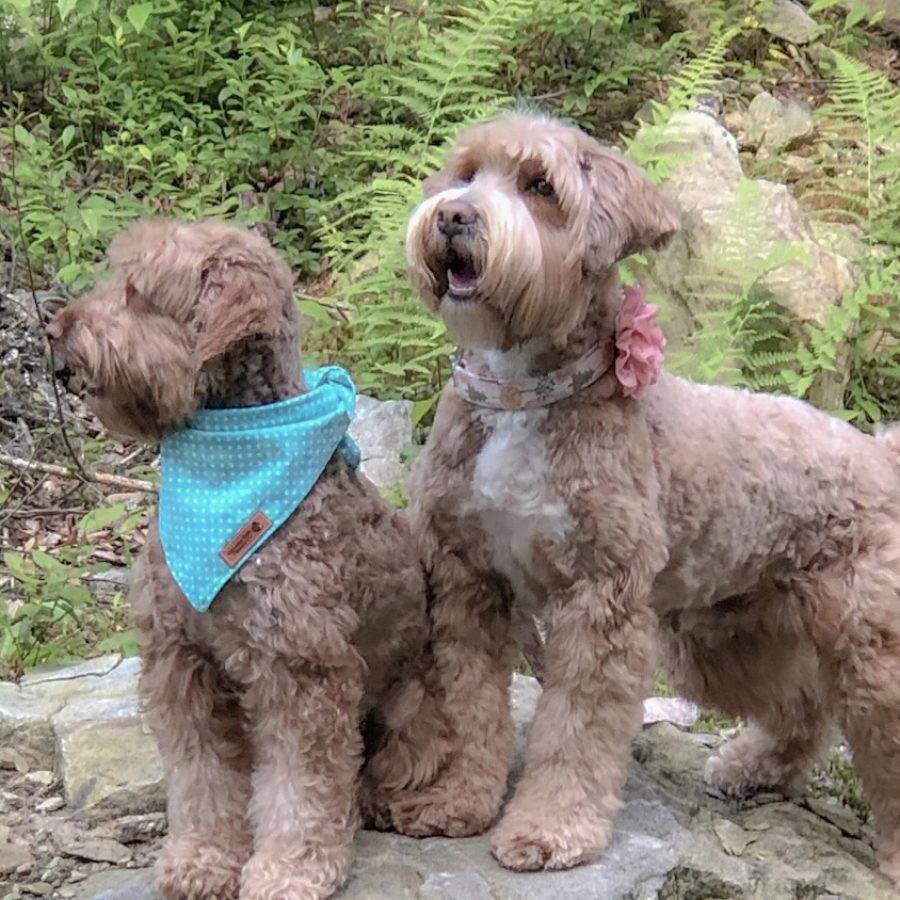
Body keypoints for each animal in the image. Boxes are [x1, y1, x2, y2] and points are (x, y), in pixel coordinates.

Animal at [45, 220, 432, 900]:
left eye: (139, 293)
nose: (55, 328)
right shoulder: (181, 662)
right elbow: (202, 777)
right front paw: (204, 857)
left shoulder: (301, 671)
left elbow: (299, 787)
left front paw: (289, 868)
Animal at [364, 112, 900, 884]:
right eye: (464, 173)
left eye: (540, 186)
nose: (454, 215)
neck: (525, 394)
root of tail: (879, 451)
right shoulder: (468, 584)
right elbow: (468, 708)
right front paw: (455, 802)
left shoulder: (599, 598)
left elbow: (574, 731)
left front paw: (550, 830)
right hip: (723, 636)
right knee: (801, 706)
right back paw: (755, 768)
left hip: (866, 649)